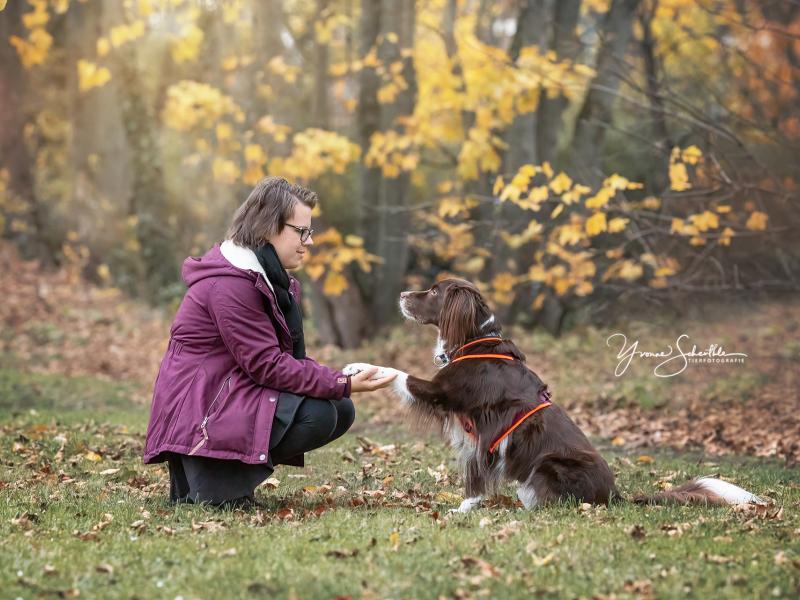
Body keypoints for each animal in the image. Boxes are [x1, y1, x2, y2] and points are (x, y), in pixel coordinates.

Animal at [346, 278, 764, 512]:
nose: (403, 294)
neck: (475, 340)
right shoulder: (475, 434)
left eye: (433, 291)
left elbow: (396, 373)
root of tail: (615, 496)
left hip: (550, 465)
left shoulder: (448, 395)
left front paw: (358, 368)